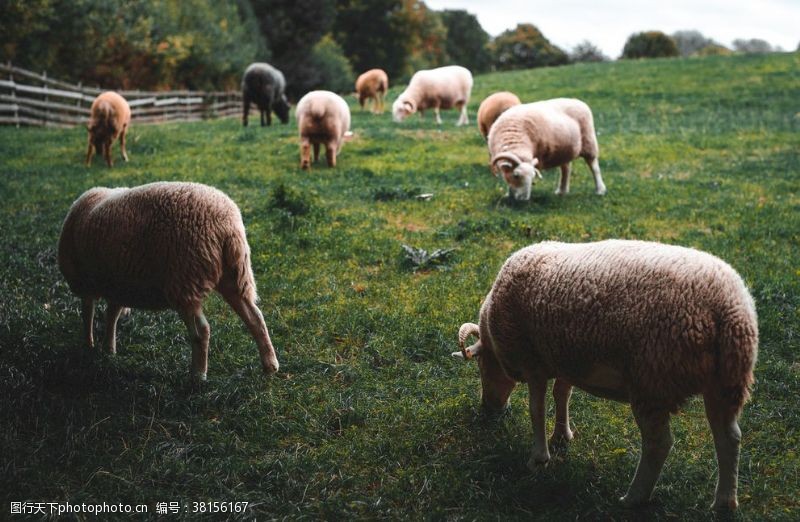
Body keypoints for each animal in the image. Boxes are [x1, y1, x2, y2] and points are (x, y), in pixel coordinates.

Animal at [57, 181, 282, 380]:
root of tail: (227, 227)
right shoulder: (119, 284)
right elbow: (111, 314)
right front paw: (108, 349)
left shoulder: (87, 283)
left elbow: (88, 313)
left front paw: (89, 345)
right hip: (232, 276)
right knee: (255, 318)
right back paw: (270, 364)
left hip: (184, 280)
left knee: (202, 330)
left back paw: (198, 375)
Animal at [454, 239, 760, 508]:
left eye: (481, 366)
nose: (488, 409)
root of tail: (728, 310)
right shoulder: (566, 356)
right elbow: (562, 393)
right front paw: (562, 435)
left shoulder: (533, 362)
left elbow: (536, 409)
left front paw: (539, 458)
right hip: (726, 382)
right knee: (729, 438)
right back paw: (724, 502)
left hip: (652, 379)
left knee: (659, 444)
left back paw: (634, 497)